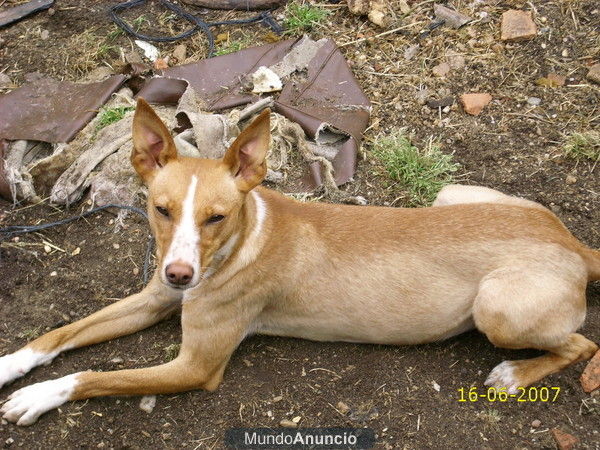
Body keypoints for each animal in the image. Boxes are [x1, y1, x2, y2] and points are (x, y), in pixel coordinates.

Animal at [1, 99, 600, 426]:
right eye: (161, 208)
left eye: (216, 216)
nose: (180, 274)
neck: (243, 239)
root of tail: (574, 245)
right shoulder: (153, 299)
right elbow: (61, 333)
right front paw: (12, 366)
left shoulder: (195, 365)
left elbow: (95, 376)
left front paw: (38, 396)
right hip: (451, 193)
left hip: (497, 308)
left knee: (582, 345)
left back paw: (516, 375)